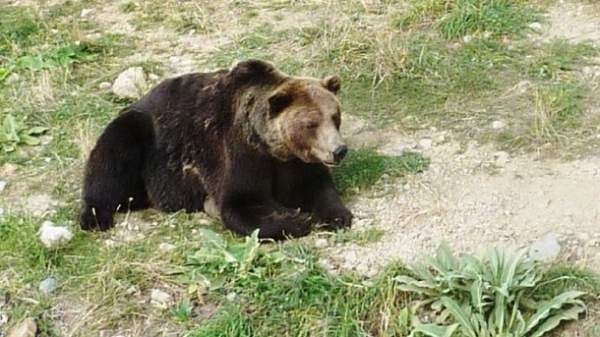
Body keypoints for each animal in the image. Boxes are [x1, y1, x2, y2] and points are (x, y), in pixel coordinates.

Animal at [79, 59, 352, 239]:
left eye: (335, 117)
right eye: (311, 124)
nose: (338, 150)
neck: (272, 147)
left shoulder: (295, 164)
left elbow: (318, 187)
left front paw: (337, 216)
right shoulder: (239, 153)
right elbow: (239, 204)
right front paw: (295, 219)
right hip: (142, 133)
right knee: (111, 161)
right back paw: (95, 216)